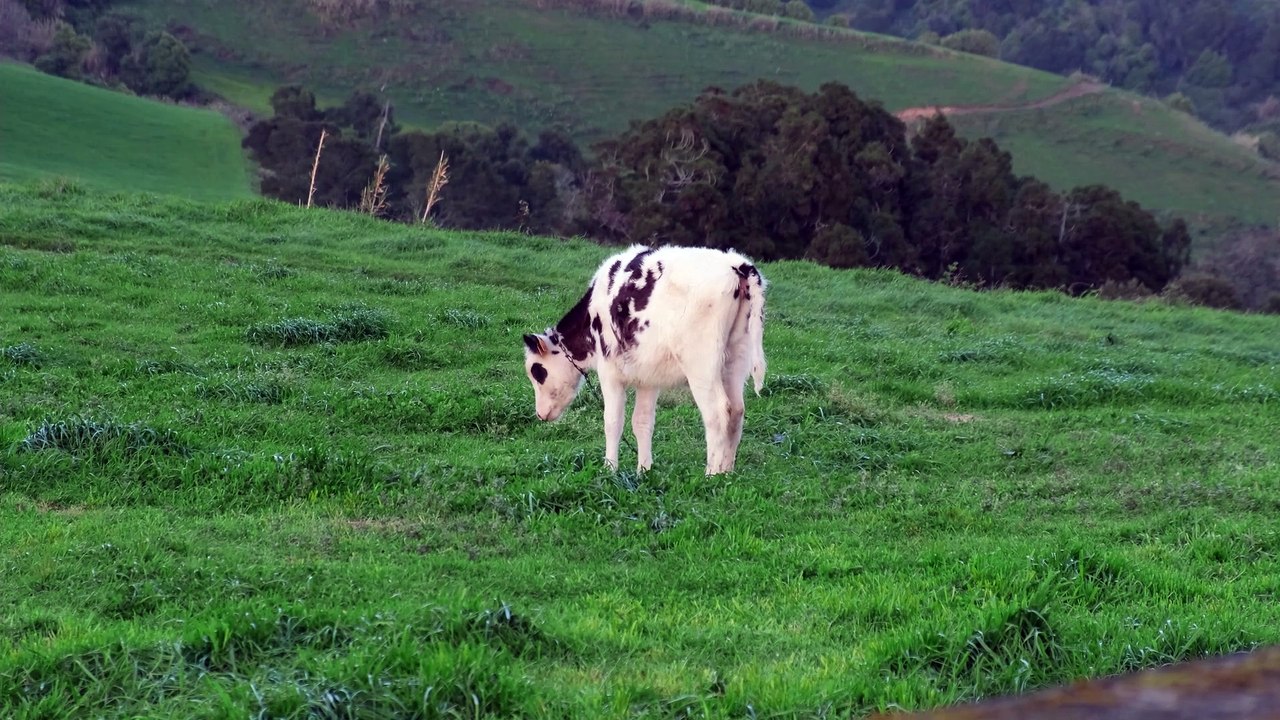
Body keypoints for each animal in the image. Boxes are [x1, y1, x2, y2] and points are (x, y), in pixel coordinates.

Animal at [522, 244, 767, 475]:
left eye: (537, 372)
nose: (540, 414)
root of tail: (737, 264)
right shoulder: (649, 377)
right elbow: (642, 422)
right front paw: (644, 470)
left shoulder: (609, 372)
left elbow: (613, 422)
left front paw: (609, 469)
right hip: (735, 358)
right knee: (737, 411)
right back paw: (726, 472)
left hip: (702, 365)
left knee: (718, 413)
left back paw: (711, 474)